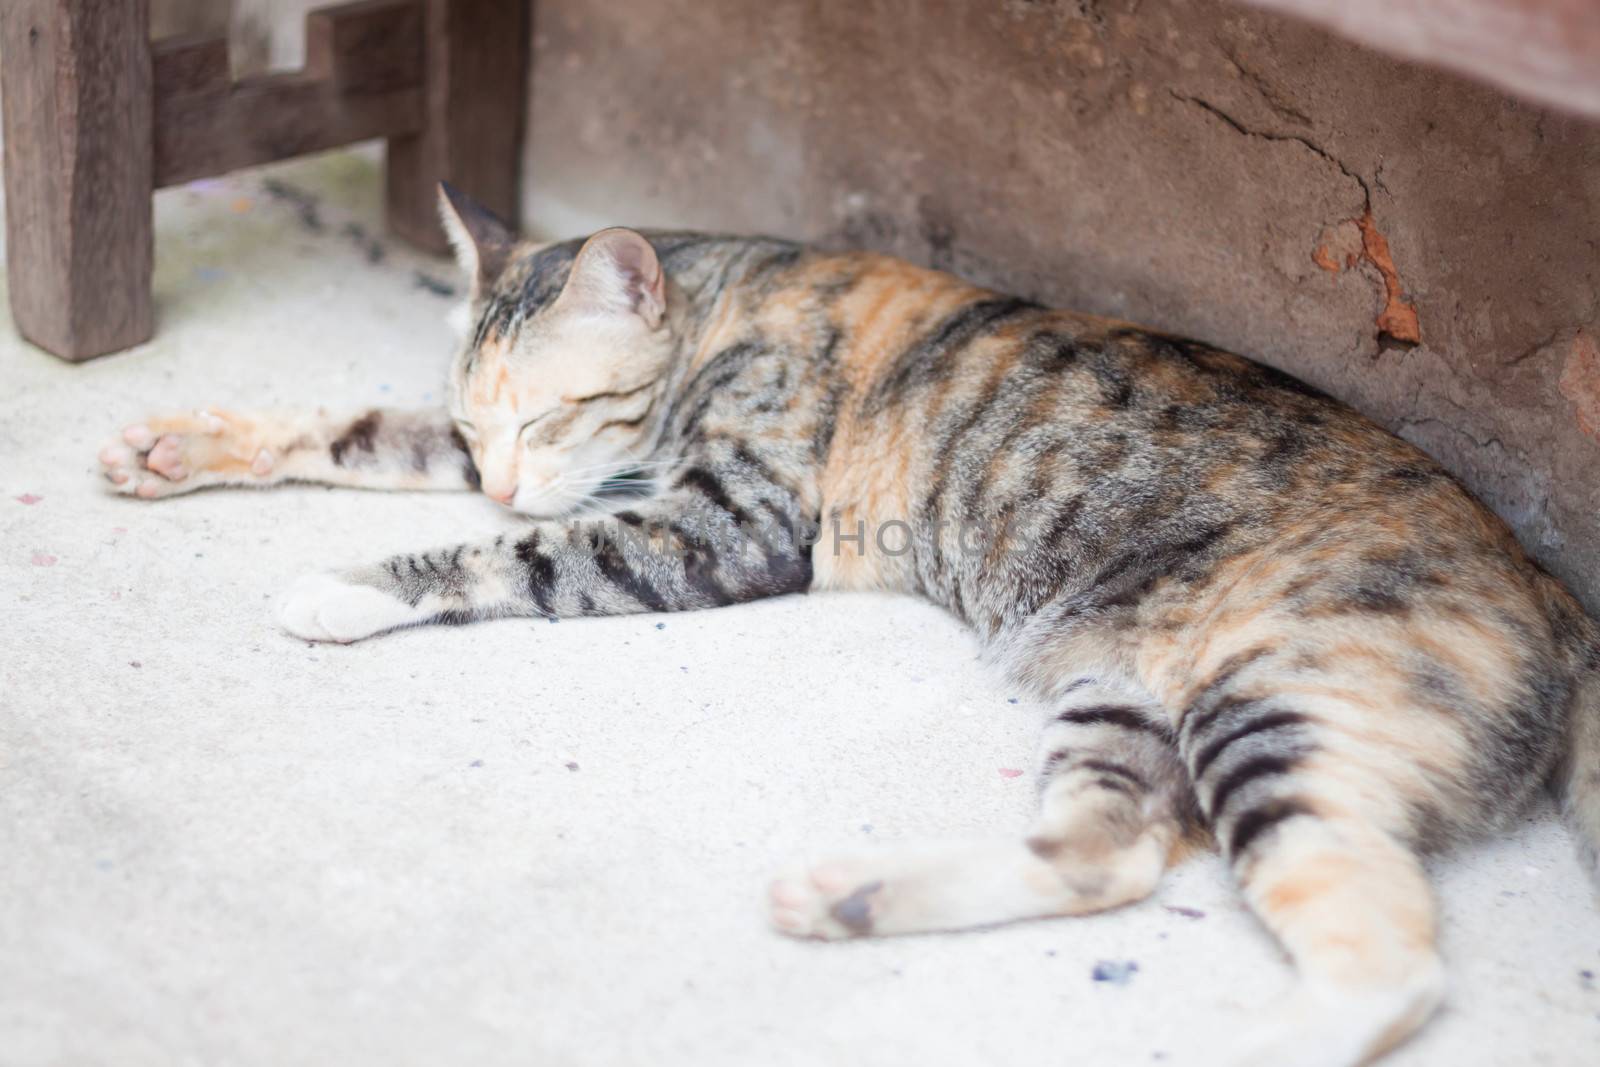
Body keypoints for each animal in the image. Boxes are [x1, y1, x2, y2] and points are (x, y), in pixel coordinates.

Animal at [100, 185, 1600, 1067]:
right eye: (482, 425)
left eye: (553, 413)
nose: (507, 469)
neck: (725, 307)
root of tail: (1551, 589)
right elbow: (363, 428)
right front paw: (184, 445)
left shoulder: (720, 525)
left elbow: (509, 554)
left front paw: (347, 586)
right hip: (1127, 694)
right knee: (1105, 854)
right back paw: (850, 895)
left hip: (1279, 702)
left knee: (1380, 960)